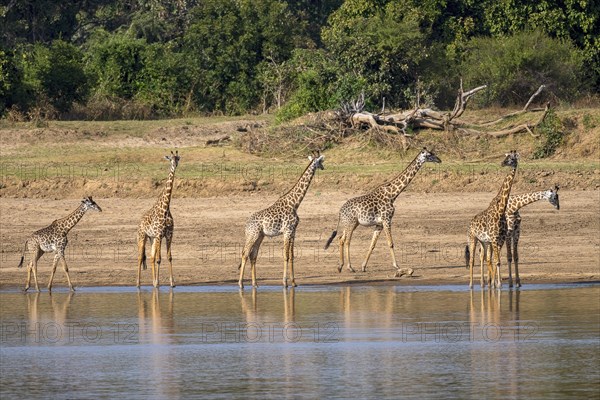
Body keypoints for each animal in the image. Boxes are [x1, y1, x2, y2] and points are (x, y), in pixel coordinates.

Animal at [137, 150, 179, 288]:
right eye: (170, 159)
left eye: (178, 158)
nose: (174, 165)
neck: (165, 209)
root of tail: (139, 222)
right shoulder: (160, 234)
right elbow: (159, 259)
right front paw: (158, 282)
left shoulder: (169, 234)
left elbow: (168, 257)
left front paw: (171, 283)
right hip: (142, 236)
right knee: (140, 257)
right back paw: (138, 283)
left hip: (152, 238)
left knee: (151, 258)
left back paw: (153, 282)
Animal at [238, 152, 324, 290]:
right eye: (321, 161)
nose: (323, 167)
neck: (294, 203)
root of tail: (246, 225)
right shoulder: (287, 231)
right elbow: (285, 255)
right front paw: (284, 283)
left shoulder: (293, 231)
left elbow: (292, 256)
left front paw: (294, 282)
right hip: (253, 235)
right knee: (245, 254)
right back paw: (240, 284)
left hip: (260, 236)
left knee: (253, 255)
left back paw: (255, 284)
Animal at [324, 147, 440, 276]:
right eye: (429, 155)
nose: (439, 160)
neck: (392, 194)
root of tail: (340, 212)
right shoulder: (387, 219)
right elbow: (391, 243)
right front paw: (396, 266)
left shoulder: (379, 224)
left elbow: (372, 245)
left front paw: (363, 266)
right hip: (351, 223)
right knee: (347, 241)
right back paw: (350, 267)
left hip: (351, 224)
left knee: (341, 239)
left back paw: (340, 266)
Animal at [464, 150, 520, 288]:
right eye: (506, 157)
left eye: (512, 158)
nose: (502, 163)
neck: (500, 210)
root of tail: (469, 224)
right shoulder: (494, 240)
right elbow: (497, 261)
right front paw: (498, 284)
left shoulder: (499, 240)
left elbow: (496, 261)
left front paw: (496, 283)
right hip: (472, 239)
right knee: (472, 260)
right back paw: (471, 284)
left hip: (484, 242)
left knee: (486, 258)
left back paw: (486, 284)